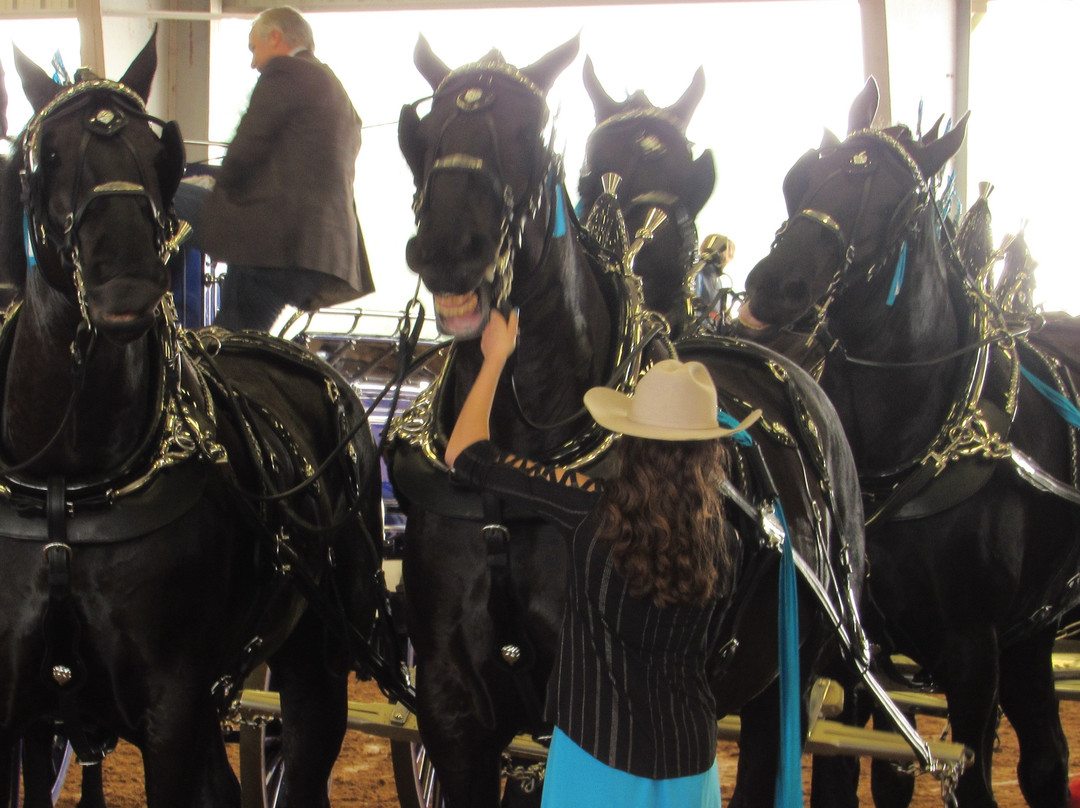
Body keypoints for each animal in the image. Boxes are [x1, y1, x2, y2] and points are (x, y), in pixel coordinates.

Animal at [0, 33, 388, 808]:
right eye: (47, 152)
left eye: (160, 155)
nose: (127, 286)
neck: (69, 487)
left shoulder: (172, 710)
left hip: (319, 661)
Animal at [738, 77, 1080, 808]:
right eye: (801, 175)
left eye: (902, 206)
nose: (775, 285)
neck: (905, 453)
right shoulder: (856, 651)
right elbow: (864, 775)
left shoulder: (973, 653)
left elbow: (967, 777)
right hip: (1034, 631)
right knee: (1045, 760)